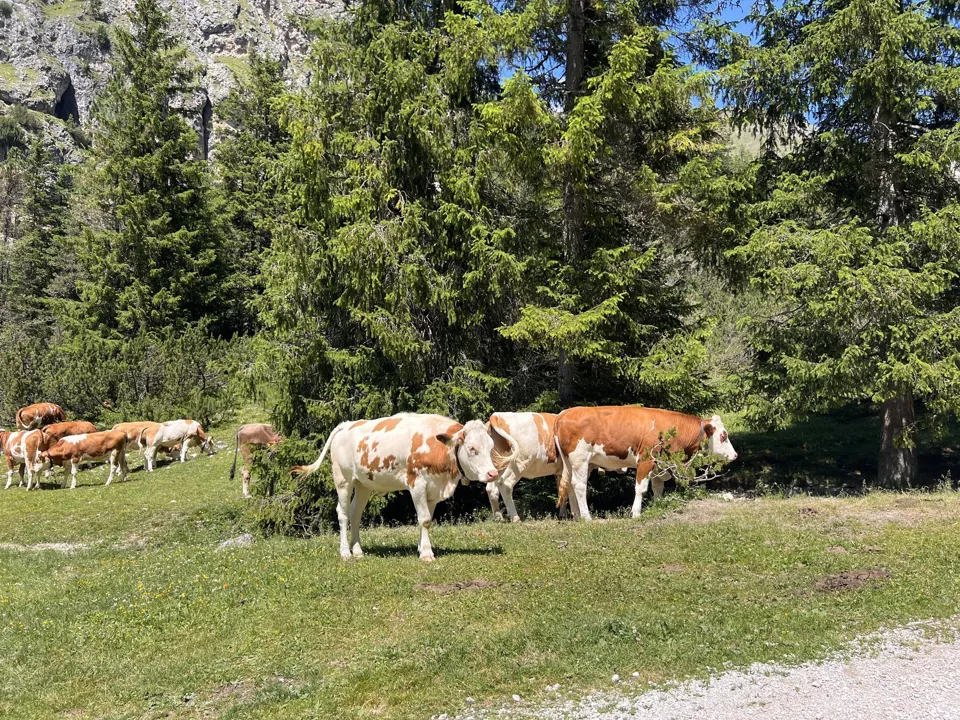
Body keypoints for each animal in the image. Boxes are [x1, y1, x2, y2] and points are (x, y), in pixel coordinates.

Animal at [292, 414, 499, 561]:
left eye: (491, 447)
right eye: (472, 448)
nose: (492, 473)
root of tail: (347, 424)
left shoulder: (433, 489)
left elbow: (427, 518)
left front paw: (421, 547)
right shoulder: (417, 484)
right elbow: (424, 519)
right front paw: (426, 553)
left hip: (362, 484)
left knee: (355, 514)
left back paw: (357, 550)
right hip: (343, 479)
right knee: (342, 514)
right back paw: (345, 553)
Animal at [555, 406, 738, 521]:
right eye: (723, 436)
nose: (735, 455)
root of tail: (564, 413)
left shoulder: (659, 465)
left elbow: (658, 487)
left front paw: (658, 504)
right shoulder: (646, 460)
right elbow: (641, 488)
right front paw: (636, 512)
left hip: (570, 463)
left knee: (570, 485)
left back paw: (576, 515)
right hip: (580, 459)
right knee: (579, 486)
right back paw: (586, 517)